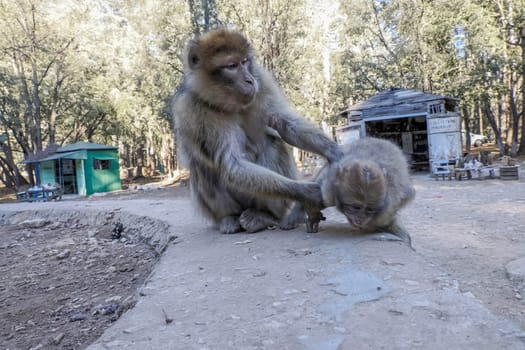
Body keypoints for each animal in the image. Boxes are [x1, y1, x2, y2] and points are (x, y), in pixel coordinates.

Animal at [173, 28, 344, 234]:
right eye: (231, 66)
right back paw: (229, 218)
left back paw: (265, 216)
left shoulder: (262, 82)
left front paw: (335, 152)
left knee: (272, 143)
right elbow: (232, 164)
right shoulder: (190, 109)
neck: (226, 103)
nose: (249, 80)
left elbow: (284, 123)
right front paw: (307, 192)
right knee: (203, 166)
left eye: (245, 61)